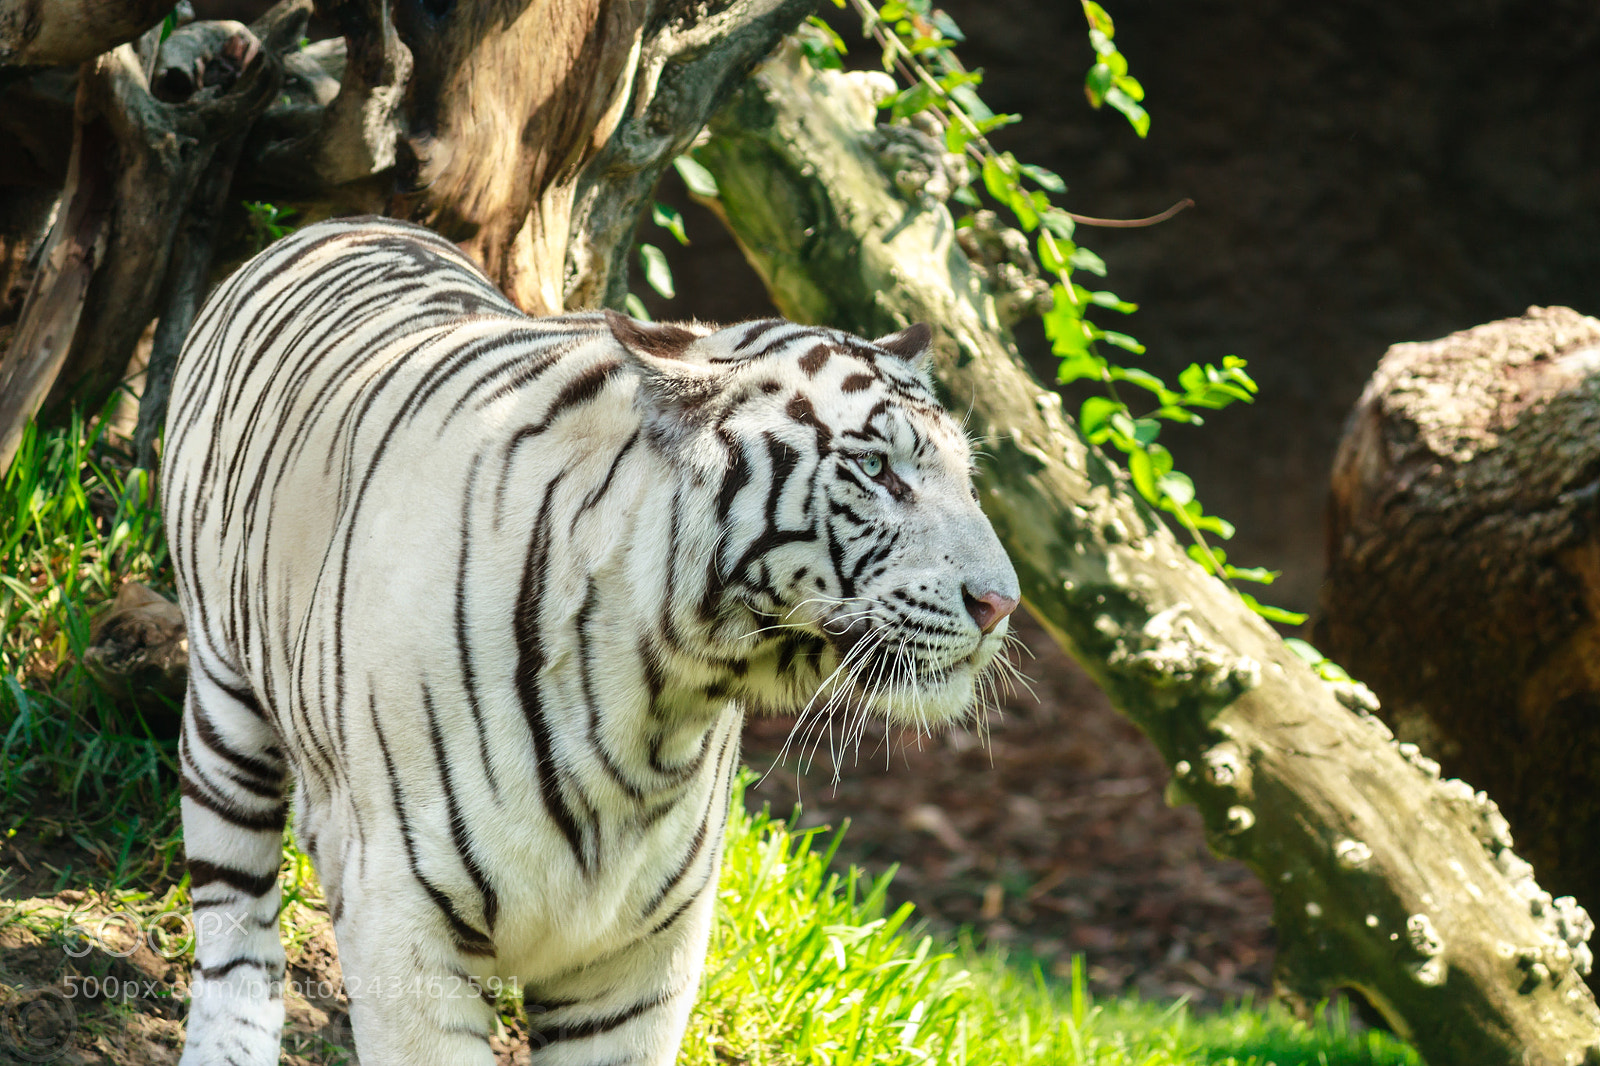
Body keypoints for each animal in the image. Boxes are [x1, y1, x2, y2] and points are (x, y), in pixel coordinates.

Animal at [160, 215, 1019, 1065]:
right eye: (875, 468)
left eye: (967, 477)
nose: (1001, 604)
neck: (658, 708)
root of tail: (340, 224)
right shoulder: (403, 918)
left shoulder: (641, 959)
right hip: (224, 703)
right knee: (235, 911)